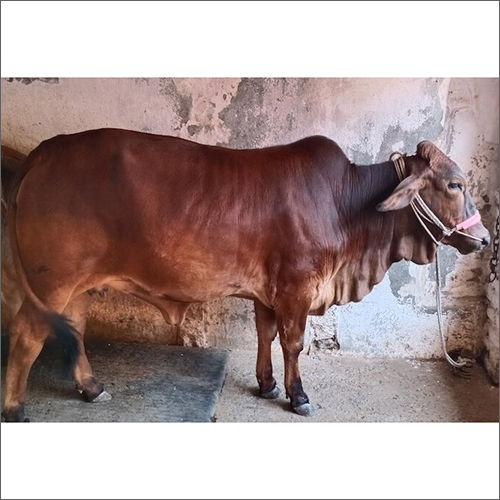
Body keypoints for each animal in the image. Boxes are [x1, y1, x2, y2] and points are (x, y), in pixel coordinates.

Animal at [1, 130, 490, 422]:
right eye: (454, 185)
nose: (485, 239)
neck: (345, 205)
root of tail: (45, 151)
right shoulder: (297, 287)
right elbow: (292, 343)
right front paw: (298, 395)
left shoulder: (267, 293)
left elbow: (265, 333)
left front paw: (267, 383)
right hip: (52, 281)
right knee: (27, 335)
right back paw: (16, 408)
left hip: (76, 286)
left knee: (73, 329)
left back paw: (92, 388)